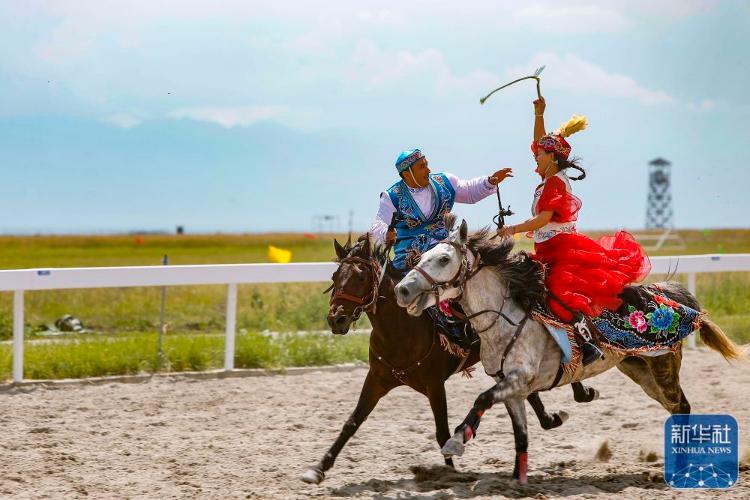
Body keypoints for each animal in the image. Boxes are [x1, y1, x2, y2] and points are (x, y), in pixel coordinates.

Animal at [302, 234, 596, 484]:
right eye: (335, 275)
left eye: (361, 277)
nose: (336, 319)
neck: (402, 331)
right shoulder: (376, 379)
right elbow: (351, 423)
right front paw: (319, 468)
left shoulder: (434, 385)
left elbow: (441, 431)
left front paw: (450, 470)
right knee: (527, 390)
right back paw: (552, 417)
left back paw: (581, 388)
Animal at [396, 220, 744, 484]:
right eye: (421, 257)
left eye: (443, 259)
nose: (402, 289)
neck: (505, 318)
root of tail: (671, 297)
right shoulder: (512, 389)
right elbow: (520, 434)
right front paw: (517, 479)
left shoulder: (518, 378)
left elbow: (481, 399)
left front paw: (456, 442)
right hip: (639, 371)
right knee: (674, 408)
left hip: (663, 366)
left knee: (682, 407)